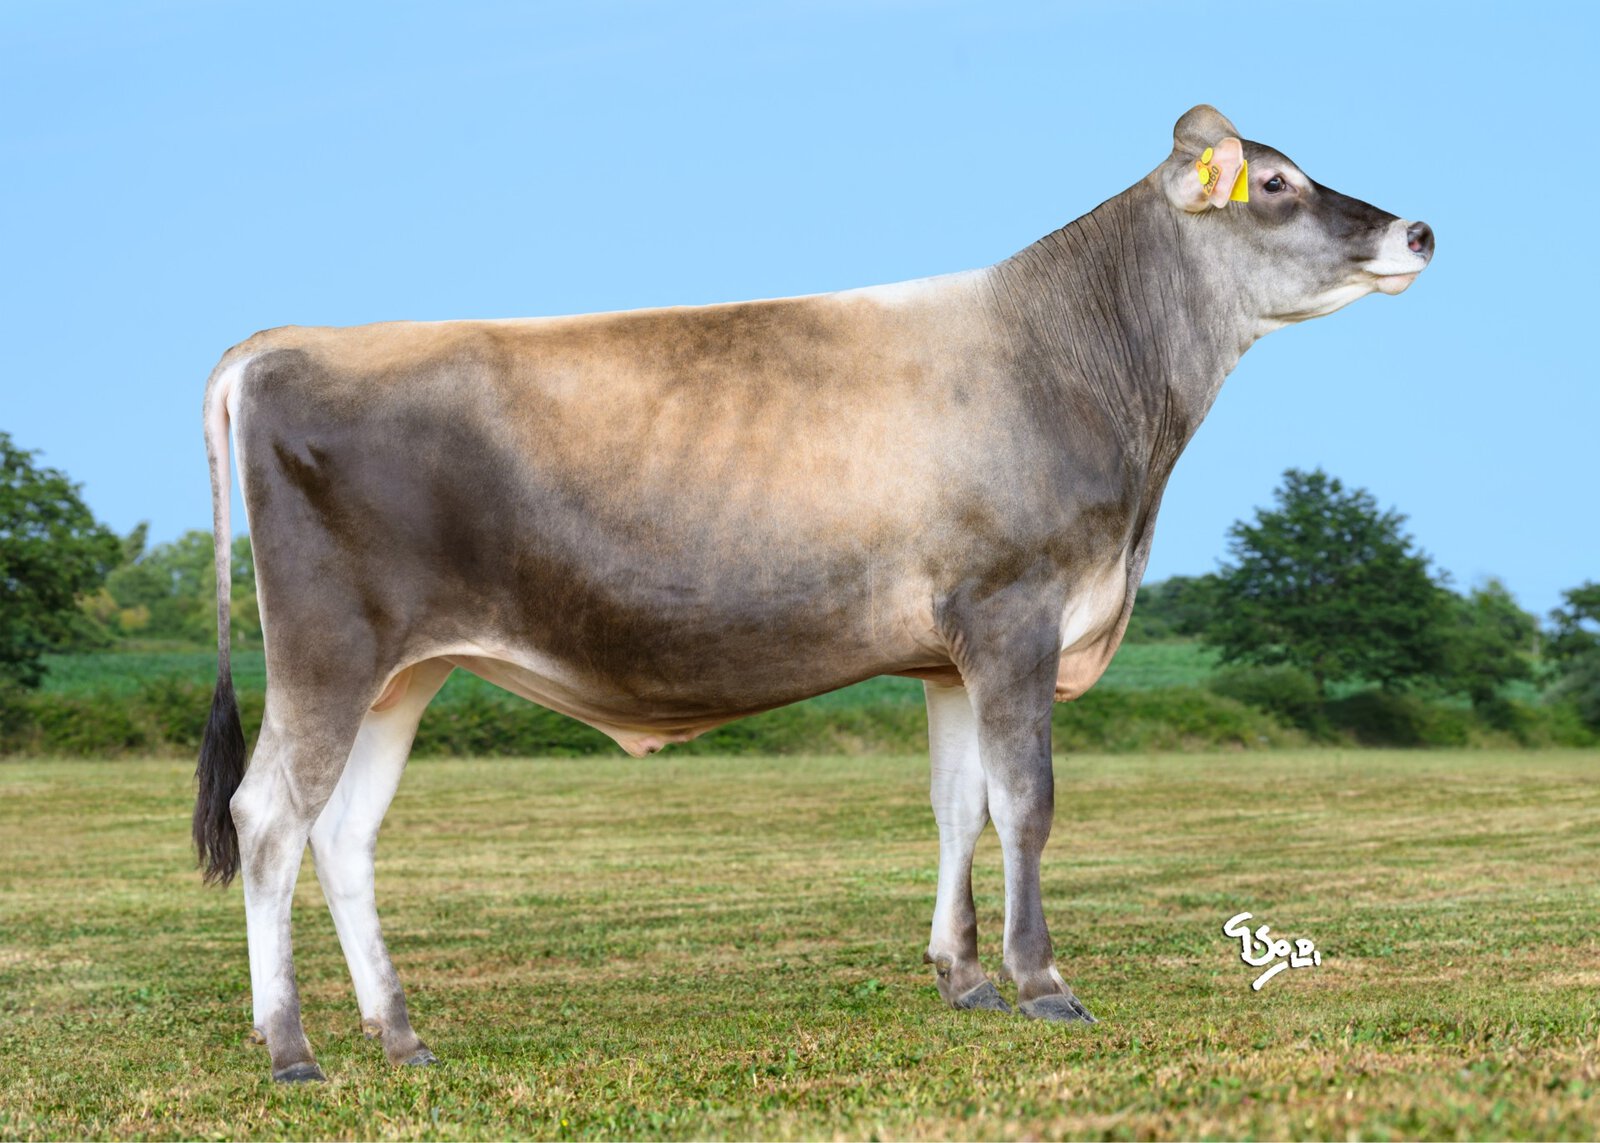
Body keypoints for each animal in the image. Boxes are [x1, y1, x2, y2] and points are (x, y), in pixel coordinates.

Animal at [194, 105, 1433, 1082]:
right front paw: (1041, 985)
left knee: (343, 834)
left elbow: (958, 804)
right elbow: (1026, 800)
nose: (1416, 229)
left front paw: (961, 979)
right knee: (267, 820)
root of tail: (279, 343)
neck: (1079, 366)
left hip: (405, 670)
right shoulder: (1014, 614)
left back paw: (400, 1037)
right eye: (1274, 185)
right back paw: (292, 1050)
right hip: (327, 649)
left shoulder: (945, 653)